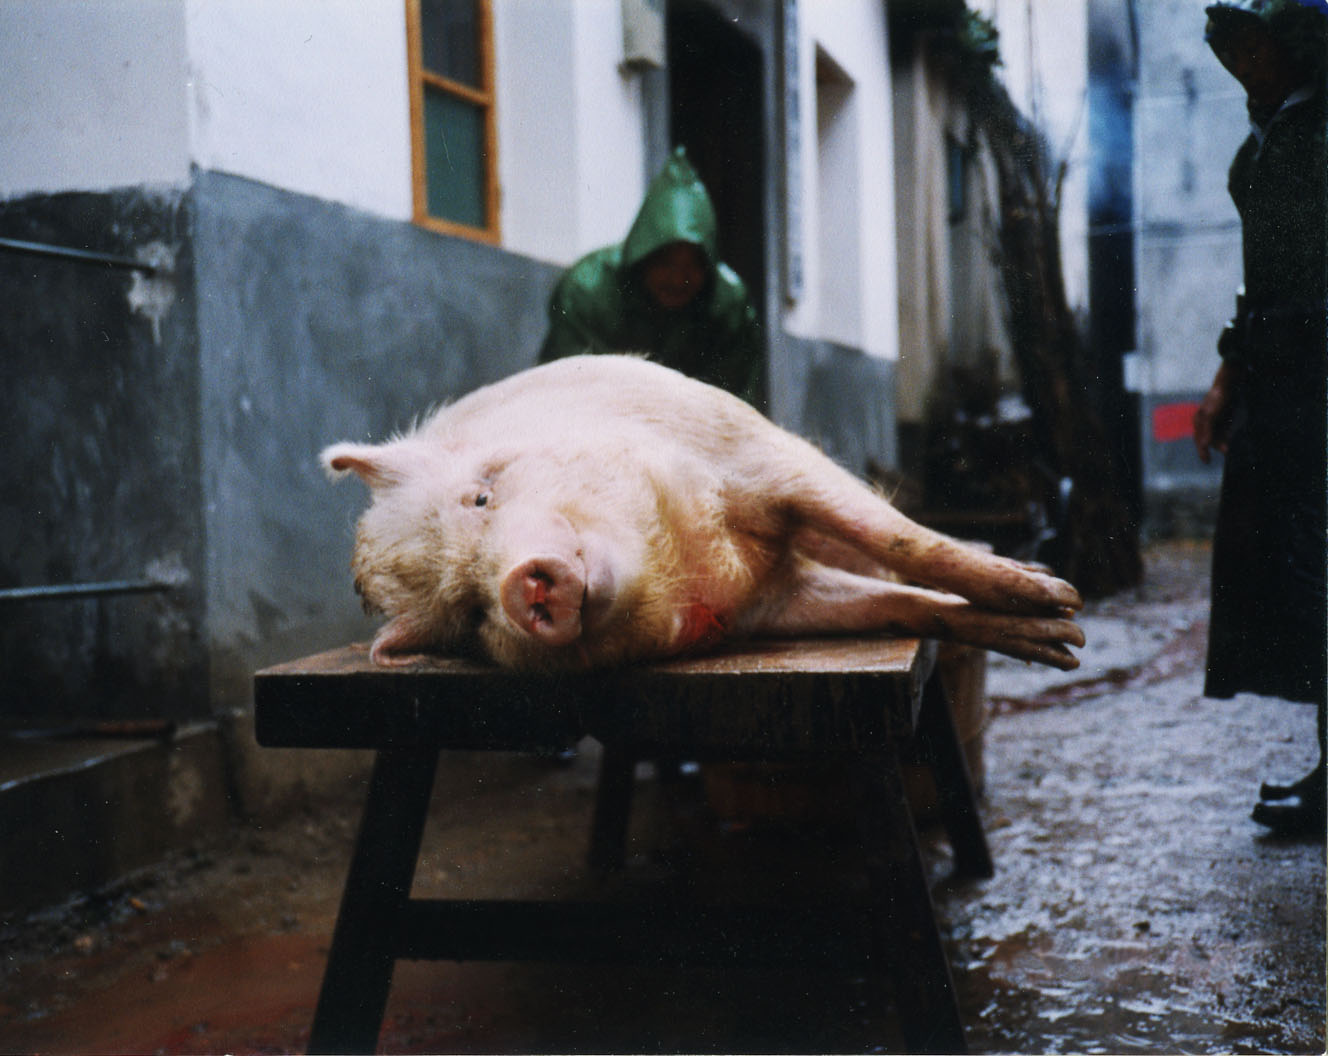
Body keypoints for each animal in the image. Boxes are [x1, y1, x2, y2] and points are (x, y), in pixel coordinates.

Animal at [323, 355, 1084, 673]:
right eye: (468, 614)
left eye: (482, 496)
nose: (520, 585)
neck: (690, 562)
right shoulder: (772, 606)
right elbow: (899, 606)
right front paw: (1057, 639)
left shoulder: (766, 458)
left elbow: (897, 539)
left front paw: (1060, 610)